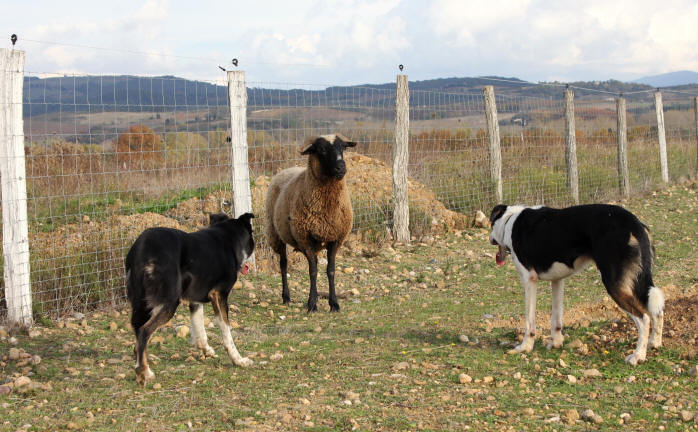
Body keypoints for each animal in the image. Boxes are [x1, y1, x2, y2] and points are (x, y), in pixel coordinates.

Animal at [126, 211, 254, 384]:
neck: (229, 238)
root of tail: (143, 247)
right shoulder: (219, 295)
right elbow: (226, 332)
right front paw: (238, 360)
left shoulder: (195, 299)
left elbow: (199, 326)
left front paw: (206, 350)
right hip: (169, 302)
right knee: (144, 331)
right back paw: (144, 372)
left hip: (142, 303)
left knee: (138, 333)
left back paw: (141, 364)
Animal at [264, 133, 356, 312]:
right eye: (321, 149)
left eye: (343, 147)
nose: (341, 167)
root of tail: (285, 170)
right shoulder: (305, 238)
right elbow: (312, 271)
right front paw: (312, 304)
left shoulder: (336, 238)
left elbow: (330, 270)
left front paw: (334, 303)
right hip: (275, 233)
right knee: (283, 264)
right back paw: (286, 297)